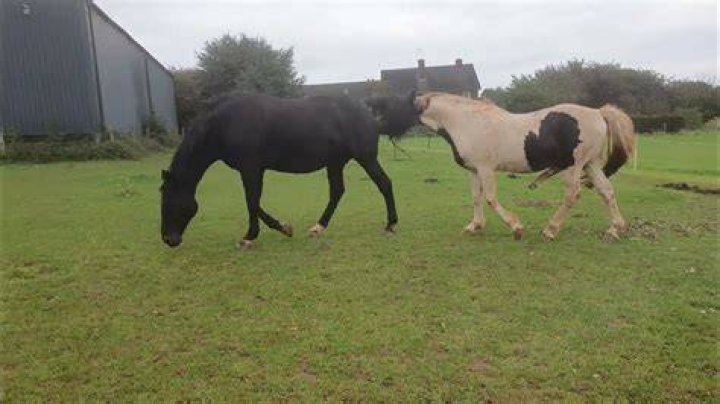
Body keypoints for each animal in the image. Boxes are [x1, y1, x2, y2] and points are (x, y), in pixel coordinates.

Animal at [160, 92, 404, 250]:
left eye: (170, 201)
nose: (168, 239)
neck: (224, 125)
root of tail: (368, 113)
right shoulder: (254, 170)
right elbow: (254, 203)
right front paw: (284, 228)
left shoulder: (250, 169)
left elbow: (251, 202)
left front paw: (250, 237)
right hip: (335, 163)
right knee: (337, 192)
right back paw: (318, 228)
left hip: (365, 158)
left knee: (384, 183)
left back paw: (390, 225)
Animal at [365, 92, 635, 240]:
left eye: (394, 106)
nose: (374, 126)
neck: (467, 122)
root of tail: (598, 113)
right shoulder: (474, 171)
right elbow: (476, 198)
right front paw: (474, 226)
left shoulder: (486, 169)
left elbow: (491, 198)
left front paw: (516, 227)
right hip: (591, 165)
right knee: (607, 192)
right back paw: (615, 229)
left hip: (573, 168)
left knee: (573, 195)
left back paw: (550, 230)